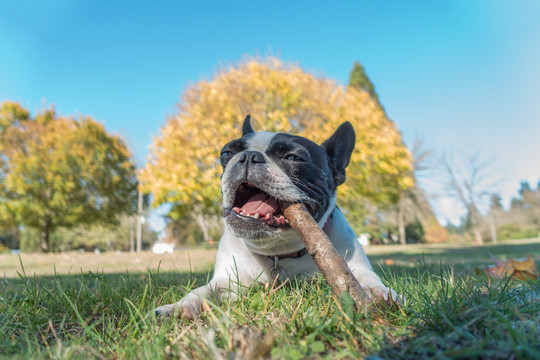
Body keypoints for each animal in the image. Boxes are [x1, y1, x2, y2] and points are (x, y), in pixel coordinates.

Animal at [154, 115, 398, 318]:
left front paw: (381, 294)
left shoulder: (355, 267)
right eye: (226, 153)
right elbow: (202, 291)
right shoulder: (228, 280)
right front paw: (178, 307)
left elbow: (365, 279)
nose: (248, 156)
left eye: (293, 157)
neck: (279, 252)